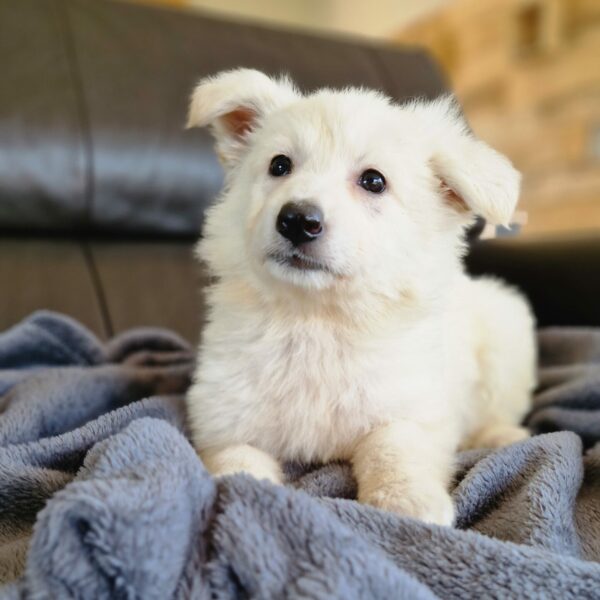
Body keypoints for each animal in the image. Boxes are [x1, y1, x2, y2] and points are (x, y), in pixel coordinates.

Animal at [185, 70, 536, 524]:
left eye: (374, 181)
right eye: (279, 165)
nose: (297, 220)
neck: (315, 318)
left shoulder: (410, 406)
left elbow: (395, 446)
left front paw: (408, 499)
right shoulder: (226, 419)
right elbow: (236, 463)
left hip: (504, 337)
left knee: (496, 411)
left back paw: (501, 435)